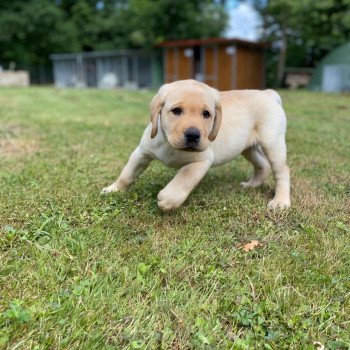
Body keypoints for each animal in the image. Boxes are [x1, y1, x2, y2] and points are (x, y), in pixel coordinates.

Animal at [102, 79, 292, 211]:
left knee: (282, 171)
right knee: (262, 165)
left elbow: (184, 177)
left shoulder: (202, 160)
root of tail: (268, 93)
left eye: (206, 114)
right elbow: (127, 174)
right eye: (176, 111)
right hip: (247, 147)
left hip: (272, 143)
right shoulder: (142, 152)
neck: (169, 143)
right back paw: (252, 185)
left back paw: (280, 201)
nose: (193, 135)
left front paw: (169, 198)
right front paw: (113, 189)